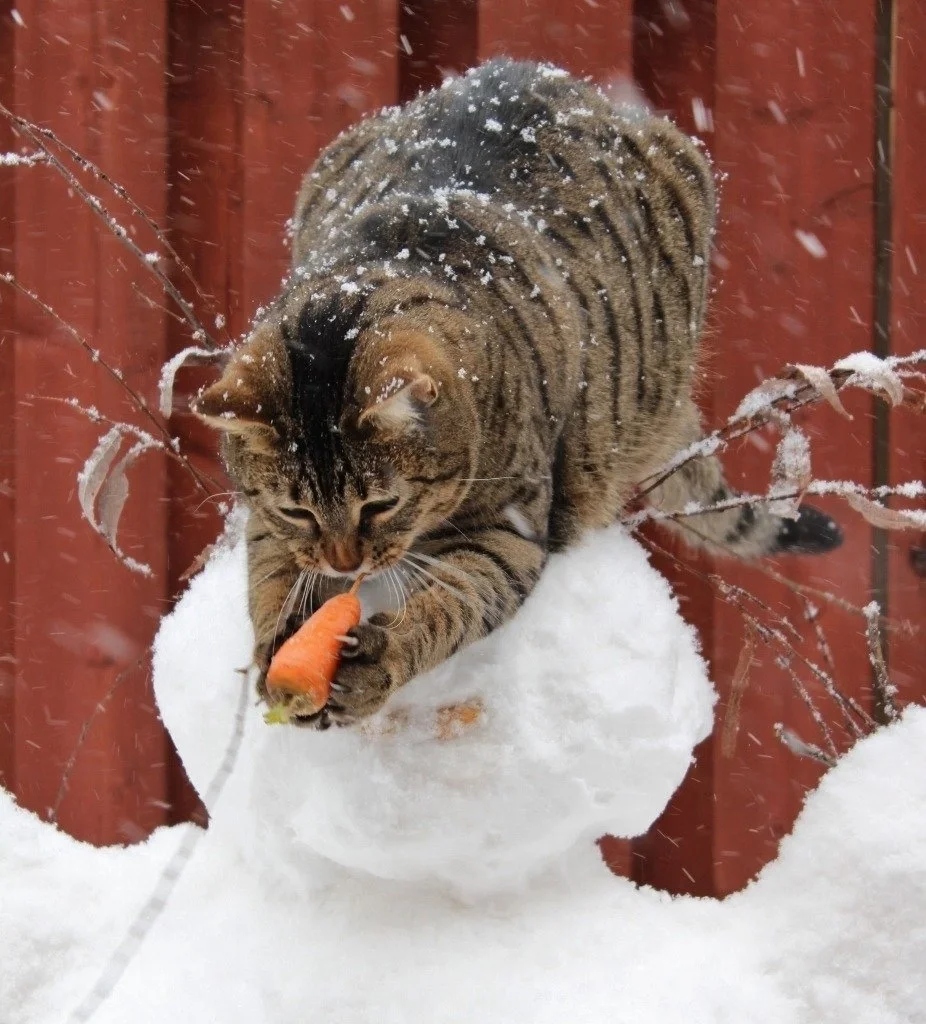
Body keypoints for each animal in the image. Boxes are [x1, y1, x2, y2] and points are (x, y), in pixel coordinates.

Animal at [191, 58, 844, 729]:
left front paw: (383, 656)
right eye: (297, 511)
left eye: (381, 505)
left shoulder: (510, 531)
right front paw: (279, 642)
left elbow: (453, 603)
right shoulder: (268, 524)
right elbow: (269, 576)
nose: (345, 565)